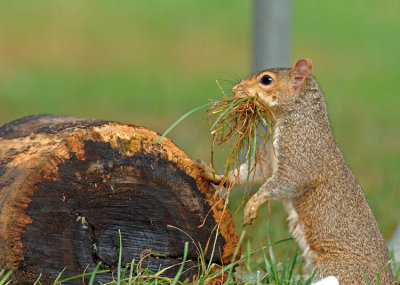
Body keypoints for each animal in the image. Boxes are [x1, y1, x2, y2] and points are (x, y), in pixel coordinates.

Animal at [198, 58, 398, 282]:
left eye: (266, 80)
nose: (235, 90)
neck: (298, 115)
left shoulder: (302, 153)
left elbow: (289, 180)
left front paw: (253, 204)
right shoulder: (270, 160)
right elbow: (252, 173)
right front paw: (213, 174)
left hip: (337, 269)